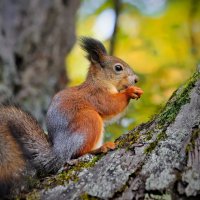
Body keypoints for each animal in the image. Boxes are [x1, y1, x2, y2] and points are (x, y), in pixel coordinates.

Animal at [0, 36, 143, 196]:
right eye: (118, 68)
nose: (136, 79)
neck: (99, 81)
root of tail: (59, 151)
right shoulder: (96, 95)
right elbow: (110, 105)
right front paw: (130, 91)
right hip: (89, 120)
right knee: (77, 153)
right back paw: (99, 148)